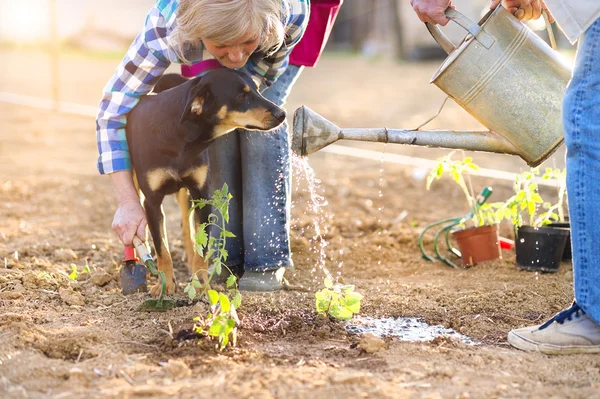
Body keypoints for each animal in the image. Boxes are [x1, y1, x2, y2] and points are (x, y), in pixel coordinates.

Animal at [126, 69, 286, 296]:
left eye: (257, 89)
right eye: (241, 96)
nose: (282, 114)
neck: (181, 137)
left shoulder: (201, 195)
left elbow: (201, 247)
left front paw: (200, 282)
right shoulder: (152, 201)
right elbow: (162, 247)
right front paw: (165, 284)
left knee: (187, 228)